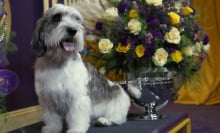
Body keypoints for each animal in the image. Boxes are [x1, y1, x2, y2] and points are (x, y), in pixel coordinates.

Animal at [30, 3, 136, 133]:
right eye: (57, 17)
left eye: (76, 19)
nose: (72, 30)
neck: (59, 62)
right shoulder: (47, 98)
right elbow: (52, 118)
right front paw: (52, 128)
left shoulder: (77, 98)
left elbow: (76, 116)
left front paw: (76, 129)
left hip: (117, 106)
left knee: (119, 119)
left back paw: (105, 121)